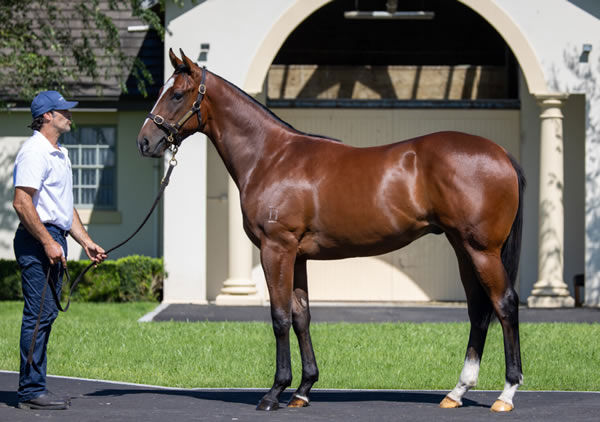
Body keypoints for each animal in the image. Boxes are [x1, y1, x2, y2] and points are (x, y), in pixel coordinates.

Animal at [136, 49, 524, 412]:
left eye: (176, 94)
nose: (145, 141)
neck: (271, 157)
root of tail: (502, 153)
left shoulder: (276, 249)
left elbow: (279, 317)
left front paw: (274, 392)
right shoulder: (297, 256)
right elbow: (301, 316)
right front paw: (303, 390)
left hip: (481, 250)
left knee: (504, 304)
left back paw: (506, 393)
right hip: (462, 248)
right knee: (478, 309)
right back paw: (456, 392)